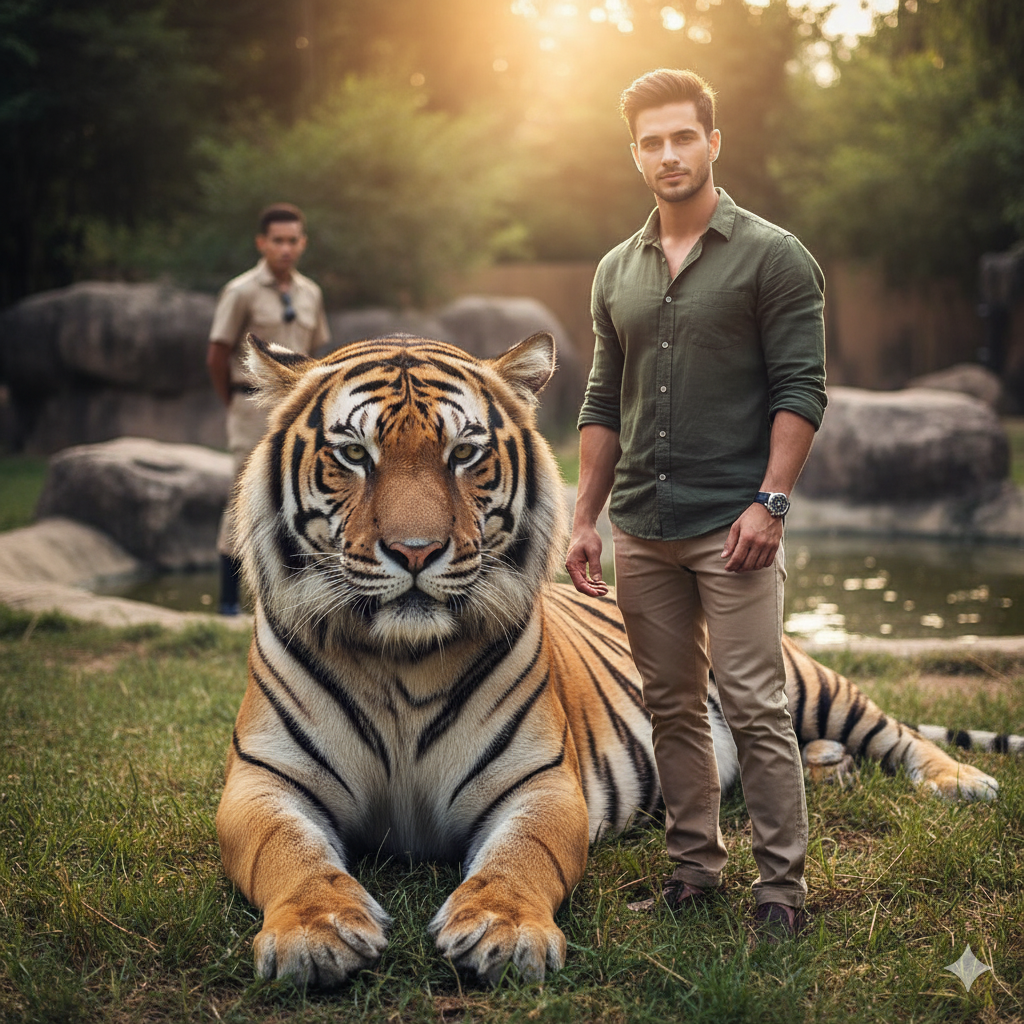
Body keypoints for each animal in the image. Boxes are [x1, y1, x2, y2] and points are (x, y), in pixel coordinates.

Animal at [216, 330, 1012, 989]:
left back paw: (961, 781)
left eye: (463, 454)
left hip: (796, 677)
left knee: (889, 732)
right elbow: (289, 854)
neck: (402, 660)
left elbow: (519, 857)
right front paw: (315, 934)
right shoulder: (262, 782)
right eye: (354, 455)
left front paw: (503, 929)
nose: (416, 553)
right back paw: (826, 766)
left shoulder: (539, 782)